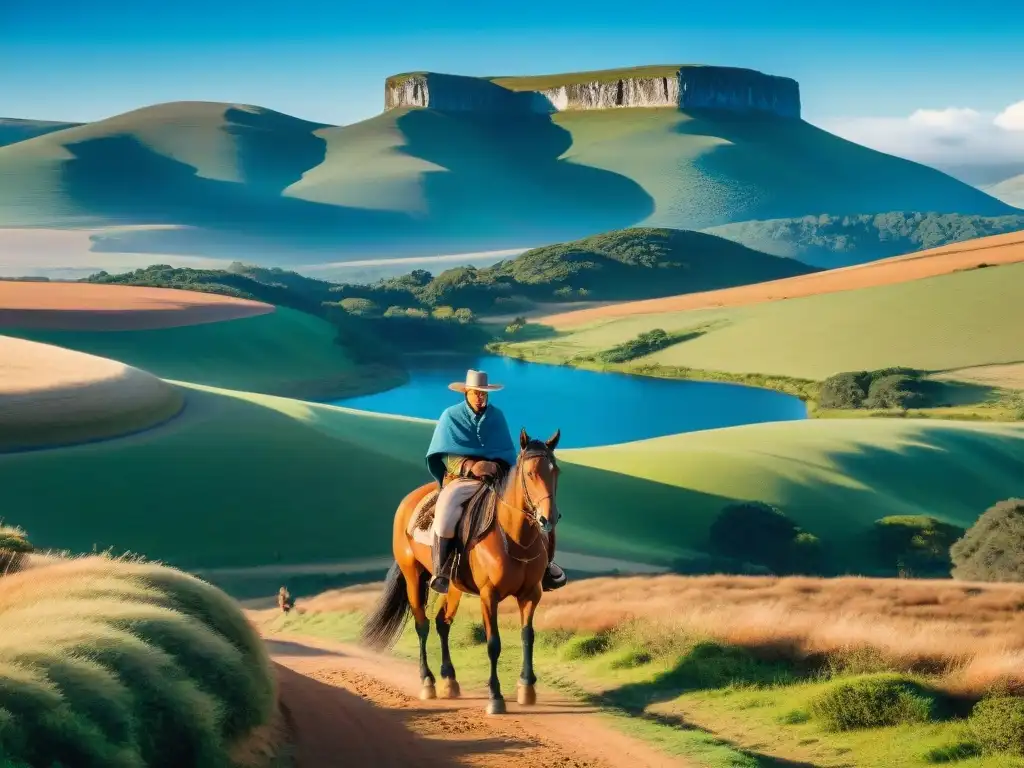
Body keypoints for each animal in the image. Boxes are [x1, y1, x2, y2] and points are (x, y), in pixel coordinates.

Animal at [360, 428, 565, 716]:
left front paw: (526, 686)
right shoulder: (489, 595)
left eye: (555, 471)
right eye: (530, 473)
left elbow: (528, 636)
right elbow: (493, 643)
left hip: (453, 586)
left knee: (442, 623)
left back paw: (450, 680)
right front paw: (495, 697)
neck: (514, 537)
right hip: (413, 577)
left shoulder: (531, 594)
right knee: (422, 625)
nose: (548, 518)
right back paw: (428, 682)